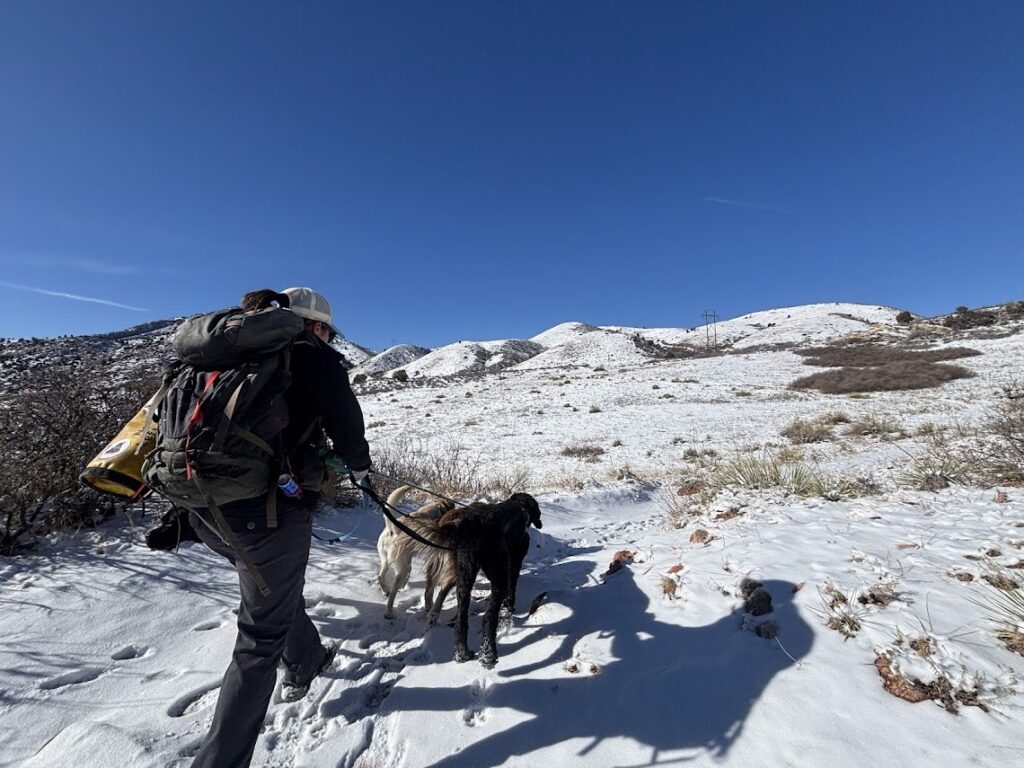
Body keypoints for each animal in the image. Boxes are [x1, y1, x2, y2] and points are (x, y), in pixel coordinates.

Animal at [436, 493, 540, 667]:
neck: (521, 507)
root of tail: (474, 527)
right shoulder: (515, 560)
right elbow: (512, 588)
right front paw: (508, 611)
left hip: (464, 575)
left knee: (461, 618)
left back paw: (462, 654)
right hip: (498, 575)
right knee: (488, 617)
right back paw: (488, 655)